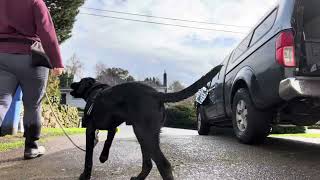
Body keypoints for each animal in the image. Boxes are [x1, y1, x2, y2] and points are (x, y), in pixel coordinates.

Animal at [70, 65, 221, 180]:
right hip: (146, 135)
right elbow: (107, 141)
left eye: (80, 82)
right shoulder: (112, 128)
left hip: (143, 133)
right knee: (148, 163)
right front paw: (103, 157)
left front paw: (85, 176)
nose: (71, 83)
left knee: (163, 164)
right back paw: (138, 178)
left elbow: (88, 158)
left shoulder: (89, 129)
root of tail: (157, 94)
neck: (94, 91)